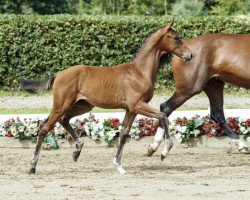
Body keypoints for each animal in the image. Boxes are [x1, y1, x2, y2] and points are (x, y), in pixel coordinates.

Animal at [19, 19, 191, 174]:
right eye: (175, 37)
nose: (189, 55)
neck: (139, 72)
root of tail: (58, 75)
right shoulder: (137, 105)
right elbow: (163, 116)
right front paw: (164, 151)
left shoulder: (131, 109)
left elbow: (124, 133)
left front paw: (118, 165)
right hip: (61, 105)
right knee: (44, 128)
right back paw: (32, 167)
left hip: (82, 105)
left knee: (63, 120)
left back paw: (77, 151)